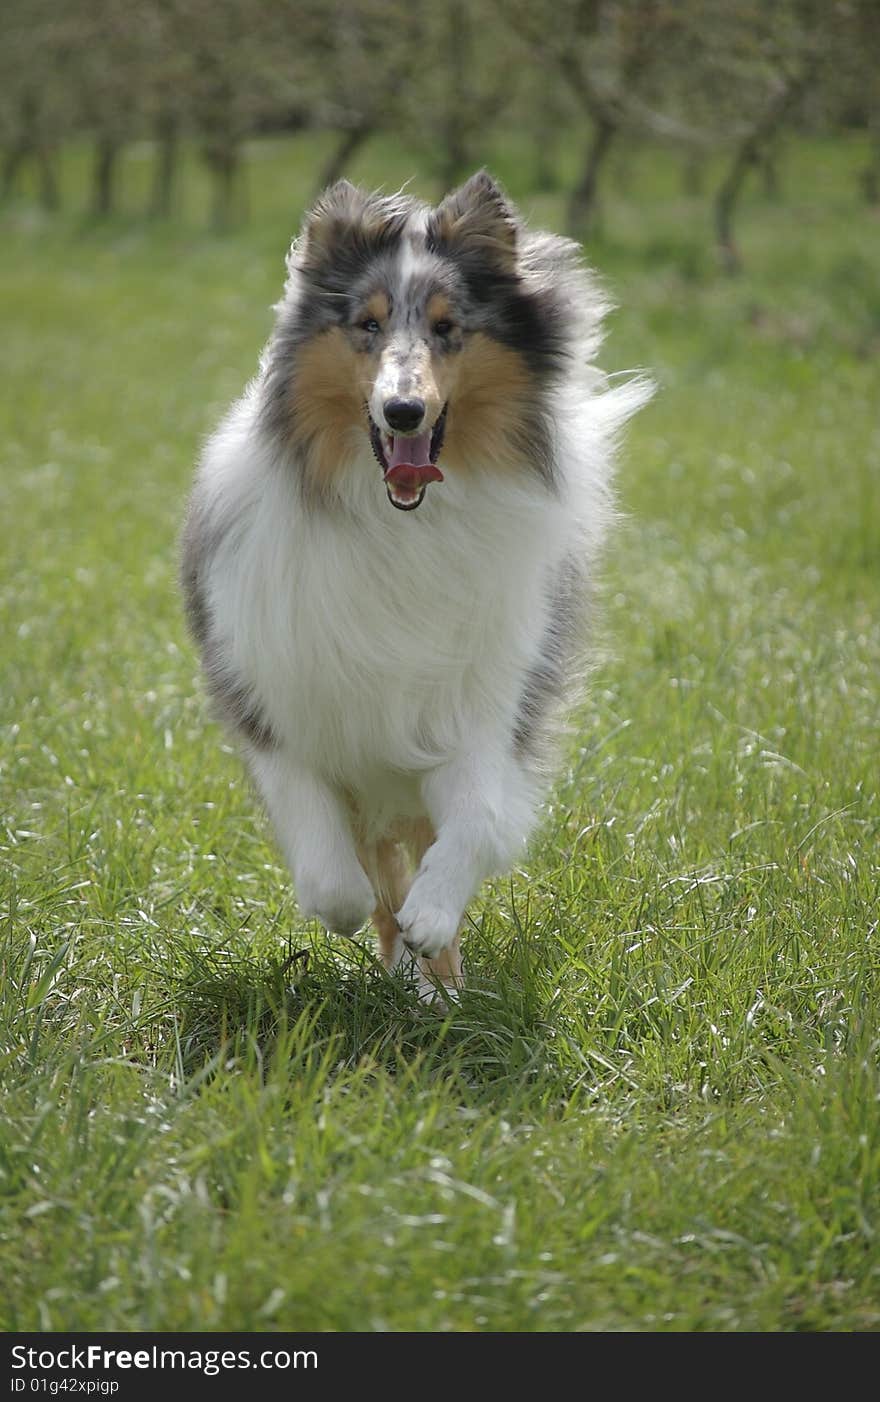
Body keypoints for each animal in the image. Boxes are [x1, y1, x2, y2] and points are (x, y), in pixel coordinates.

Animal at [180, 172, 647, 998]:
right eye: (365, 325)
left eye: (448, 327)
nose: (403, 410)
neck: (400, 523)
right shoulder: (279, 702)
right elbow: (337, 872)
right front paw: (357, 914)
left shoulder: (482, 704)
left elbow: (472, 825)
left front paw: (434, 920)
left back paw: (440, 986)